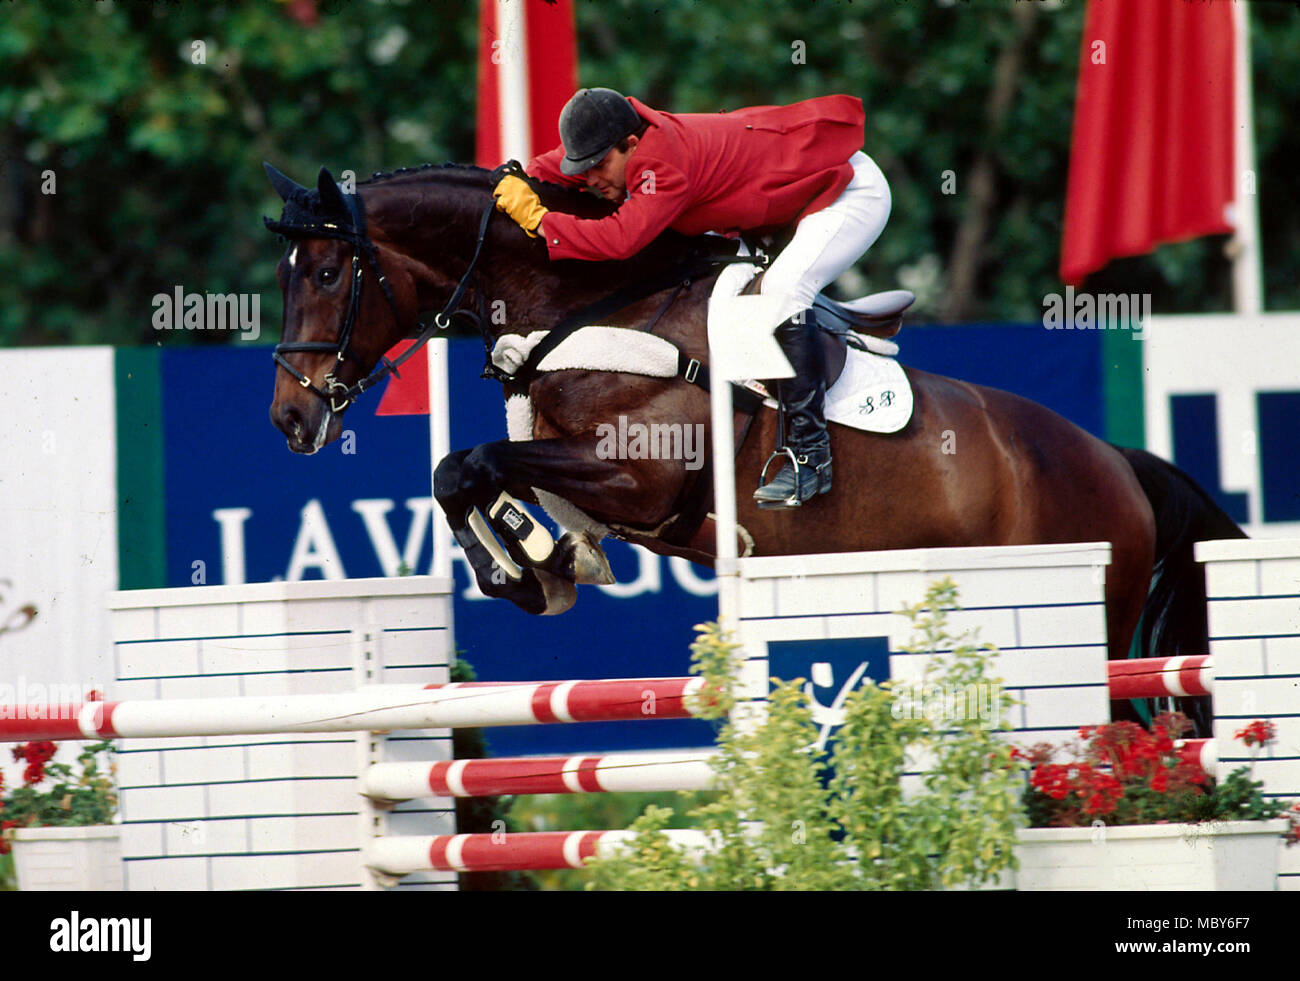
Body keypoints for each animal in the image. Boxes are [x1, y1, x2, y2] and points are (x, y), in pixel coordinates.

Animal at [266, 161, 1248, 727]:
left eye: (329, 273)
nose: (290, 420)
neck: (584, 307)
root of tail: (1118, 460)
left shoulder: (640, 481)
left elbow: (469, 464)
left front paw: (526, 568)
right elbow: (461, 473)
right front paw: (539, 562)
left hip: (1095, 611)